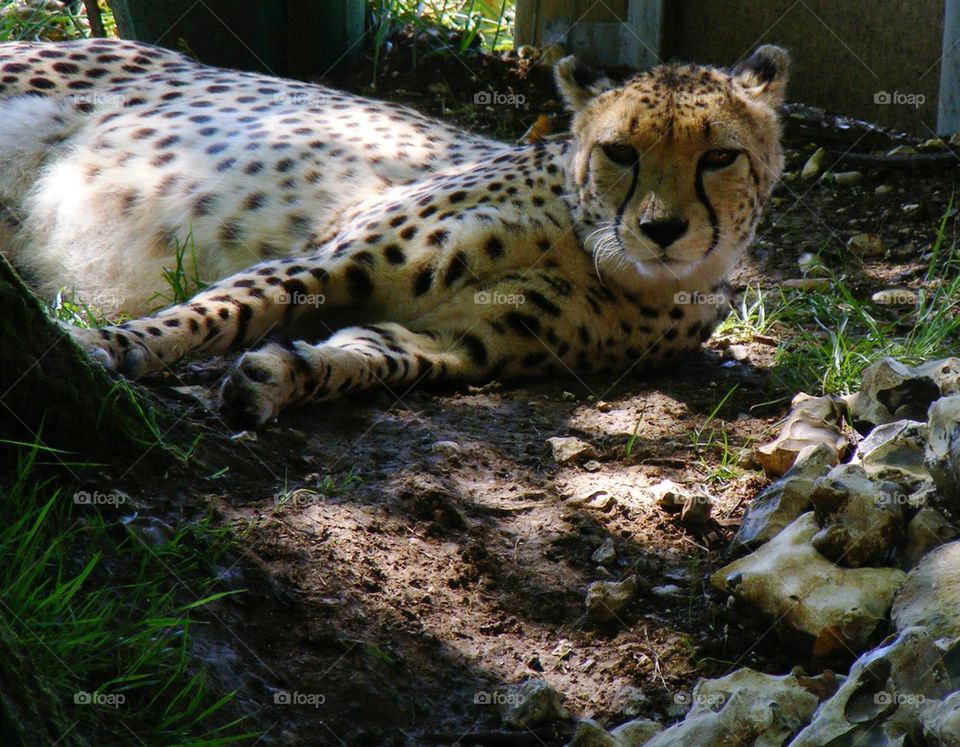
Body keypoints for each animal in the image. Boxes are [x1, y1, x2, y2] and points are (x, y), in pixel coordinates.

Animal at [0, 38, 789, 427]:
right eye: (621, 151)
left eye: (718, 156)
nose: (662, 228)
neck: (591, 249)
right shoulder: (334, 256)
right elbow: (219, 309)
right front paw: (107, 347)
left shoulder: (463, 343)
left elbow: (371, 357)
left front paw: (280, 377)